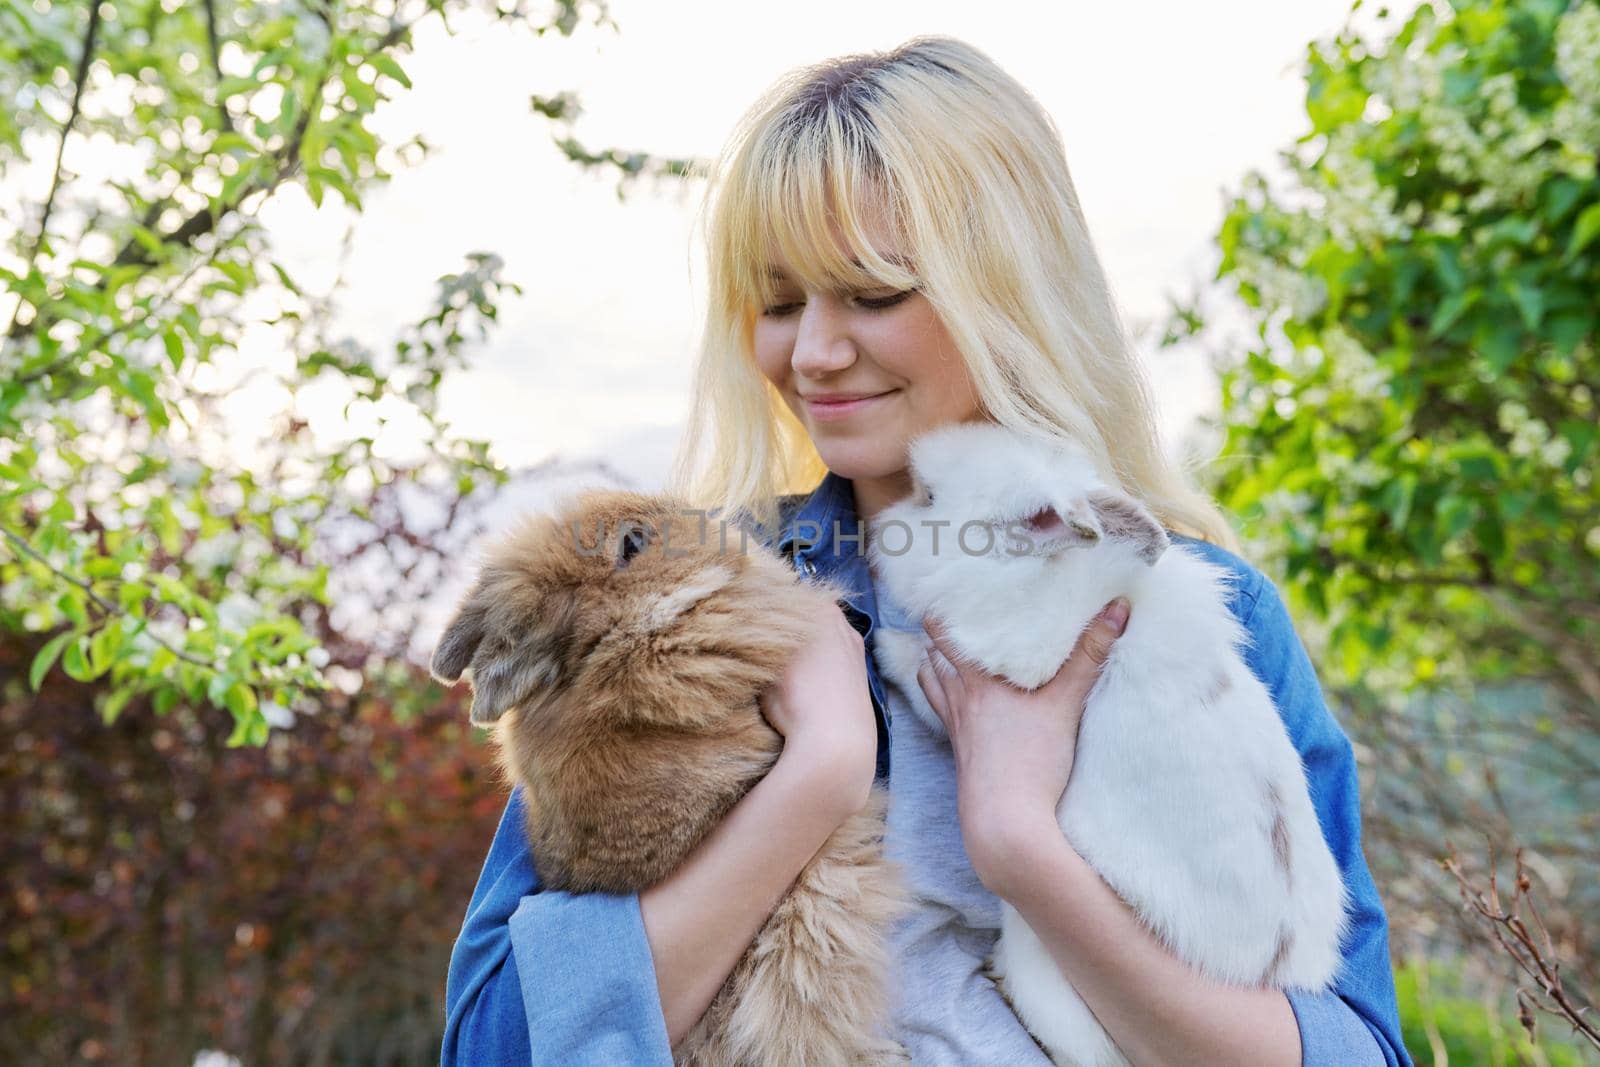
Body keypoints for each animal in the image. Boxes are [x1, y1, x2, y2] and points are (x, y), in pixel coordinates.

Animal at [870, 422, 1344, 1067]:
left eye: (928, 499)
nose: (875, 527)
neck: (1033, 571)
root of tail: (1264, 968)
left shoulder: (1005, 664)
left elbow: (921, 667)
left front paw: (882, 646)